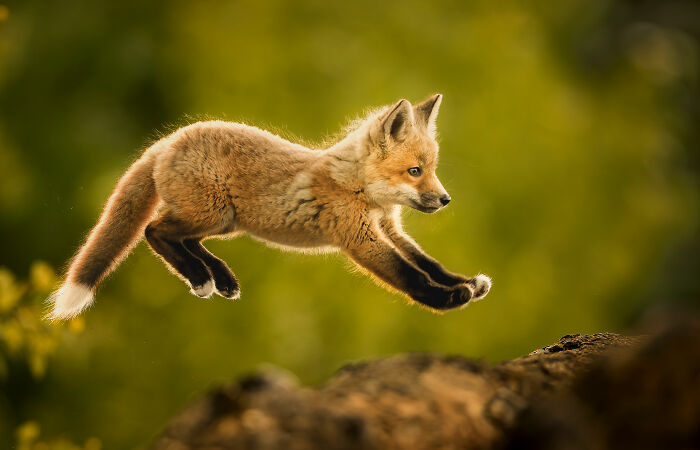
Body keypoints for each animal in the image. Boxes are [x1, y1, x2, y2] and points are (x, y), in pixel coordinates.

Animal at [48, 94, 491, 320]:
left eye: (431, 170)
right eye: (415, 171)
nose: (445, 199)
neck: (362, 190)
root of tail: (168, 140)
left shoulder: (390, 229)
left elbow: (429, 263)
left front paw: (466, 282)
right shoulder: (362, 238)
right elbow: (409, 276)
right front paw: (448, 300)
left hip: (222, 222)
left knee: (181, 238)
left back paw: (219, 278)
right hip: (212, 213)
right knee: (153, 231)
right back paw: (202, 277)